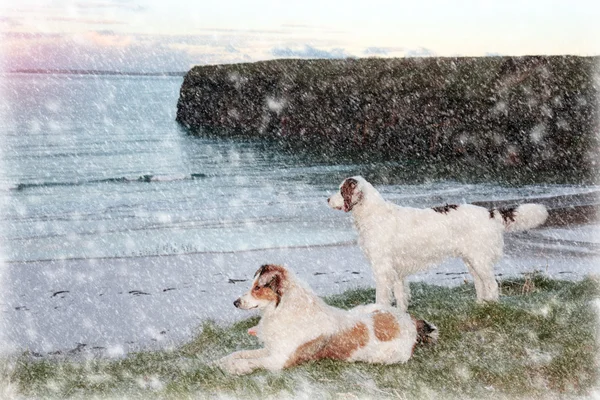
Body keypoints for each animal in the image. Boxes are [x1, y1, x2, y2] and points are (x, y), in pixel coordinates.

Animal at [218, 266, 438, 376]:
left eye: (257, 288)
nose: (235, 302)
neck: (285, 310)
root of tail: (410, 322)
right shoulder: (273, 348)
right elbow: (241, 353)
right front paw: (222, 360)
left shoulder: (280, 360)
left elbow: (253, 361)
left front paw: (237, 368)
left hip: (384, 356)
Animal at [328, 177, 548, 310]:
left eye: (341, 190)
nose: (327, 199)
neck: (374, 214)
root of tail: (490, 213)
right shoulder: (396, 270)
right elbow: (400, 296)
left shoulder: (382, 268)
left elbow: (382, 298)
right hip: (472, 261)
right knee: (480, 284)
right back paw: (479, 305)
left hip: (480, 260)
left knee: (492, 285)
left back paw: (491, 307)